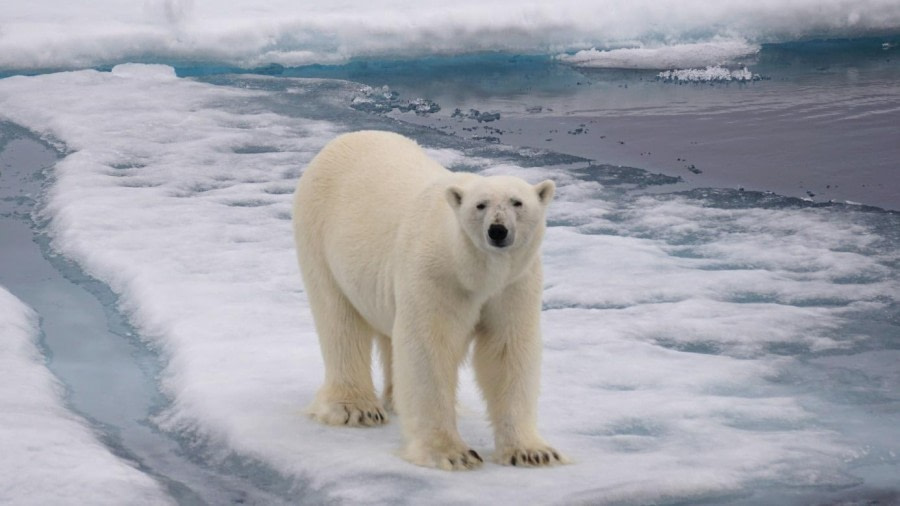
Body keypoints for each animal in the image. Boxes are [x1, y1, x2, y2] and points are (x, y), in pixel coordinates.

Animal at [294, 130, 564, 470]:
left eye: (518, 202)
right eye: (480, 205)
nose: (498, 231)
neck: (472, 270)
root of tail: (344, 139)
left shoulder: (514, 285)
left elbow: (507, 351)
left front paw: (533, 452)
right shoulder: (434, 274)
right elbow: (429, 347)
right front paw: (453, 453)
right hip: (319, 237)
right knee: (339, 321)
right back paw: (356, 408)